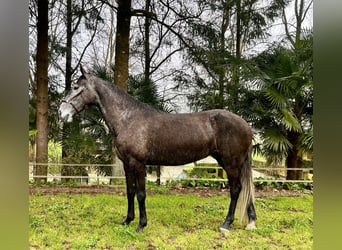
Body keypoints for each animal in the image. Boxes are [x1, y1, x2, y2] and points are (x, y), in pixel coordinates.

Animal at [59, 66, 256, 232]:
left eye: (76, 87)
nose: (62, 113)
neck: (128, 119)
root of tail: (246, 125)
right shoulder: (127, 164)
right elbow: (130, 192)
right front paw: (127, 221)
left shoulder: (139, 164)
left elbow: (141, 194)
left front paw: (141, 225)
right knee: (245, 188)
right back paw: (251, 221)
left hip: (231, 163)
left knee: (236, 189)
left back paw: (226, 224)